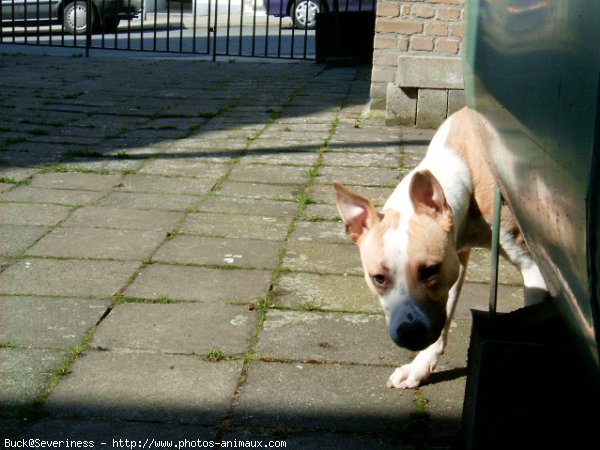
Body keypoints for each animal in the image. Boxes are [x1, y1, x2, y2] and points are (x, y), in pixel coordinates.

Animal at [332, 107, 548, 388]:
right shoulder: (456, 259)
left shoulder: (530, 265)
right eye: (378, 278)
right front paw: (419, 366)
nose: (410, 333)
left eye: (429, 270)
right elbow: (446, 310)